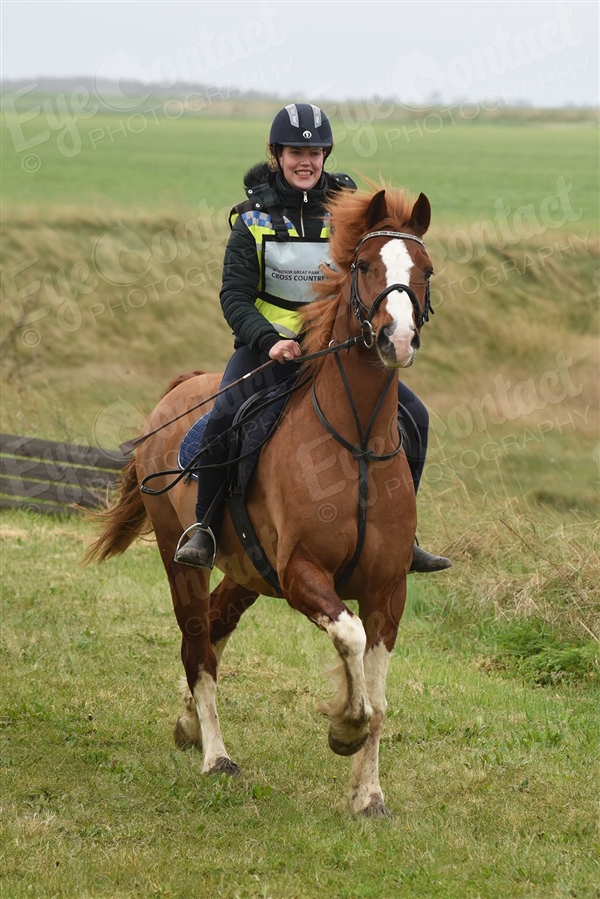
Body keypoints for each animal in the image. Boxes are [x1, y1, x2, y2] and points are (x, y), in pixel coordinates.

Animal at [86, 186, 436, 820]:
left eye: (425, 270)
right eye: (363, 266)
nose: (396, 339)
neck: (356, 442)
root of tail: (181, 388)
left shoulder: (387, 590)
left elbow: (378, 692)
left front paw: (368, 795)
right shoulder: (302, 576)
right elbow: (349, 641)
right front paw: (342, 729)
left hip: (247, 572)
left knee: (212, 630)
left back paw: (187, 726)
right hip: (182, 561)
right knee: (197, 646)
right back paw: (215, 754)